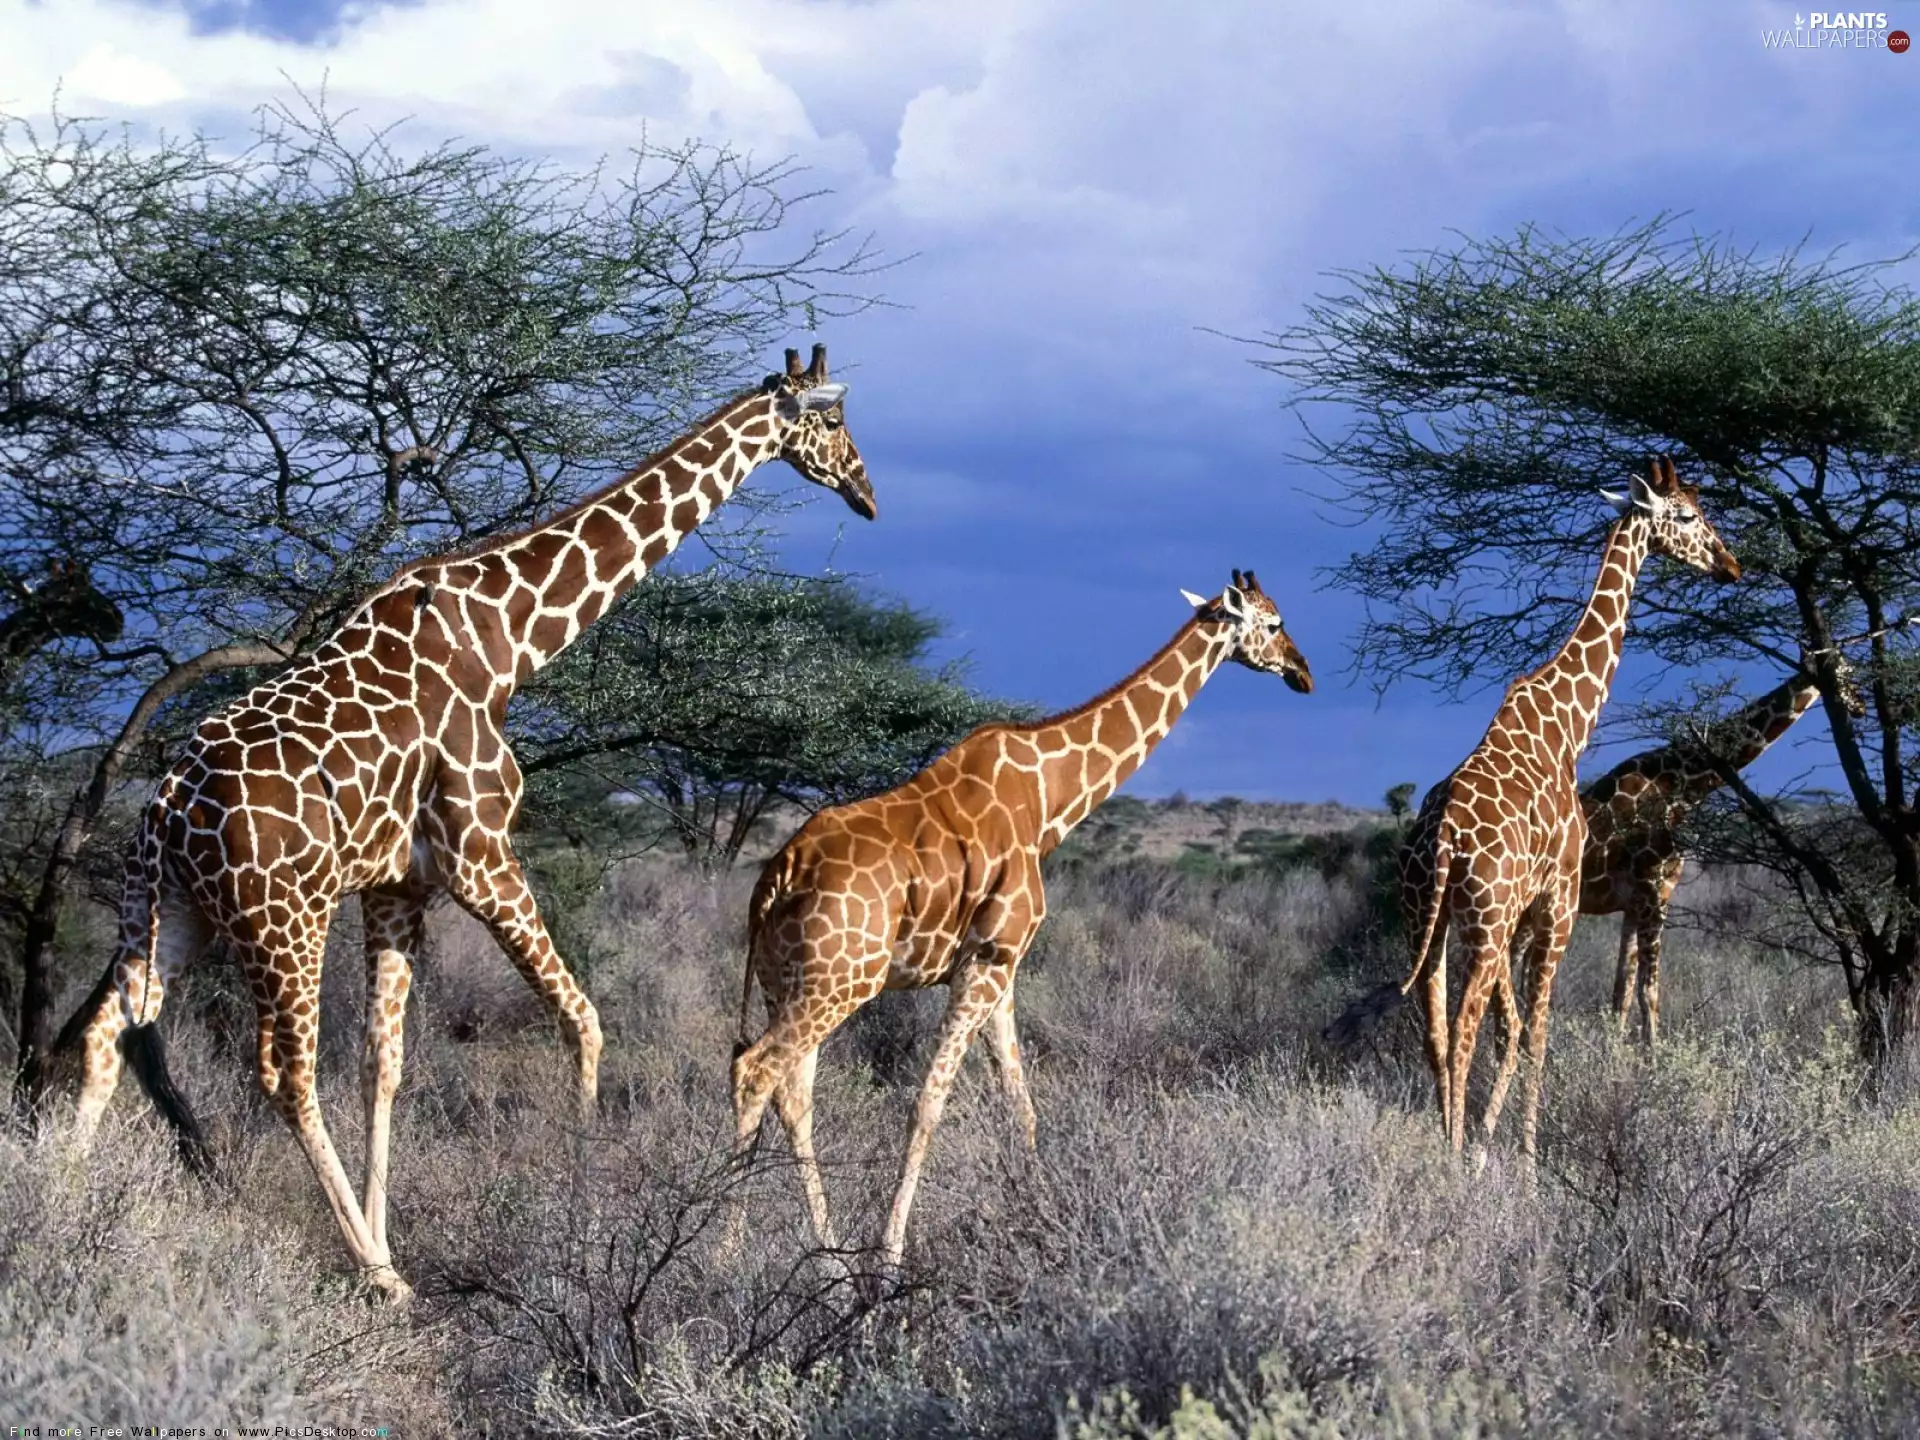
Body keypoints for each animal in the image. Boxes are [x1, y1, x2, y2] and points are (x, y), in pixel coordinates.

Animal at [64, 345, 872, 1300]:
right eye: (833, 420)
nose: (865, 492)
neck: (509, 640)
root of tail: (165, 805)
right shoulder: (479, 853)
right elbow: (583, 1019)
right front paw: (578, 1227)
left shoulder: (397, 885)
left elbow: (382, 1064)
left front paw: (400, 1224)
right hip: (281, 921)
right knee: (282, 1073)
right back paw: (379, 1276)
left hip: (169, 913)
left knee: (107, 1034)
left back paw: (59, 1206)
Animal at [730, 570, 1313, 1268]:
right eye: (1275, 623)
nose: (1303, 673)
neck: (1049, 802)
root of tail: (780, 873)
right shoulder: (986, 963)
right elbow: (928, 1103)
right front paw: (890, 1257)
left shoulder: (1000, 970)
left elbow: (1020, 1105)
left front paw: (1037, 1223)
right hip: (841, 982)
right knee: (756, 1072)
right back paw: (717, 1246)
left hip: (787, 983)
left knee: (792, 1094)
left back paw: (823, 1255)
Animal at [1397, 456, 1740, 1161]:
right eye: (1688, 514)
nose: (1731, 564)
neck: (1567, 730)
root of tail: (1440, 843)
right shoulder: (1558, 903)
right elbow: (1537, 1034)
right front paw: (1524, 1162)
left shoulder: (1530, 913)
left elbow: (1516, 1031)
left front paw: (1491, 1146)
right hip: (1486, 920)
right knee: (1464, 1030)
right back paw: (1455, 1162)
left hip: (1427, 920)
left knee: (1435, 1033)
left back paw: (1445, 1149)